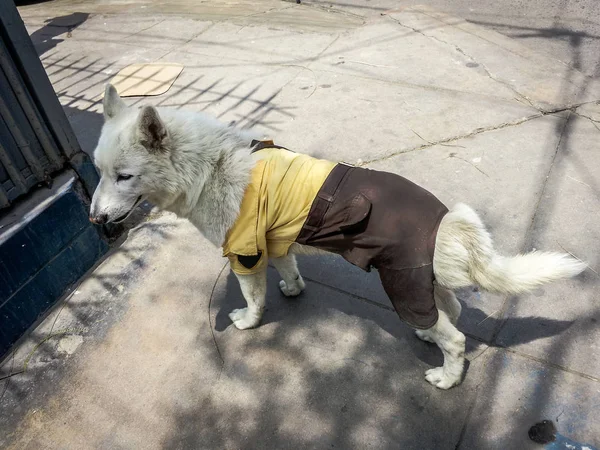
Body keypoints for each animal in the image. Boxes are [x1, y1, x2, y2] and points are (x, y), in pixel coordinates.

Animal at [89, 85, 584, 390]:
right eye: (98, 172)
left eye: (124, 176)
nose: (94, 219)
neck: (210, 165)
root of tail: (444, 218)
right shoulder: (274, 242)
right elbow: (289, 270)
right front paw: (292, 289)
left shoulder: (245, 256)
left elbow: (253, 299)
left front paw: (249, 322)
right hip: (422, 282)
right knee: (453, 313)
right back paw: (432, 341)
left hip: (402, 285)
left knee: (457, 337)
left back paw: (448, 375)